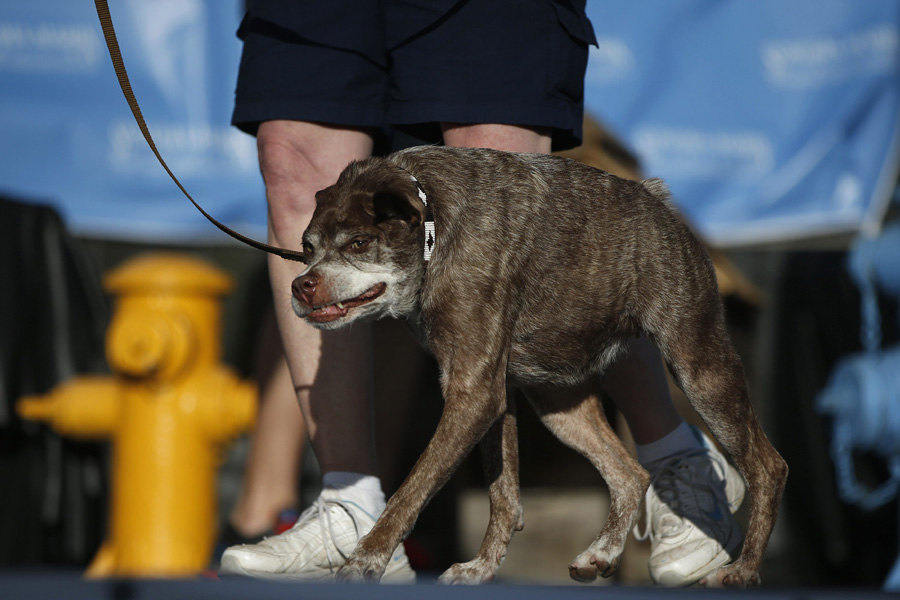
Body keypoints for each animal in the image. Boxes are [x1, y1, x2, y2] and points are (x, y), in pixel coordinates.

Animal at [290, 145, 788, 584]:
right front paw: (482, 567)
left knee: (769, 467)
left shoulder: (474, 396)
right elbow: (504, 494)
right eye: (306, 248)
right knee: (630, 474)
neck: (434, 223)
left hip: (700, 372)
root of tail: (659, 202)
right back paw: (601, 552)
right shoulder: (487, 392)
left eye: (359, 242)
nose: (301, 285)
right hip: (557, 403)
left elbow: (410, 492)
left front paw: (365, 561)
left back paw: (743, 570)